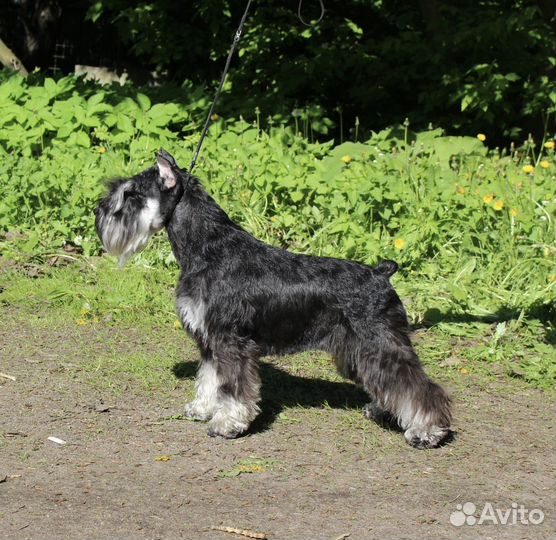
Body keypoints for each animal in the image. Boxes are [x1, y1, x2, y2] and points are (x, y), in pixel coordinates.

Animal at [95, 150, 452, 450]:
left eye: (132, 193)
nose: (99, 211)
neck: (207, 247)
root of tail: (382, 274)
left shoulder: (231, 342)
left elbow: (232, 388)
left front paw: (227, 424)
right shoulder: (209, 341)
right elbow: (209, 379)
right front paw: (202, 409)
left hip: (379, 342)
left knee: (418, 387)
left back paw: (426, 432)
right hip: (358, 350)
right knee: (389, 383)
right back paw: (384, 411)